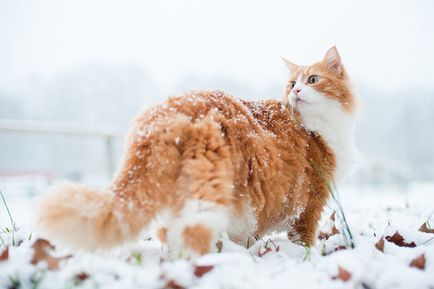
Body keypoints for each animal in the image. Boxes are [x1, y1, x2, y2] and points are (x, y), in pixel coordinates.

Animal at [36, 46, 356, 258]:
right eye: (292, 83)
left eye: (312, 80)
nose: (296, 92)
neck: (314, 128)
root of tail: (173, 106)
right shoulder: (311, 202)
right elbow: (304, 238)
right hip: (207, 189)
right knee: (193, 234)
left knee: (168, 232)